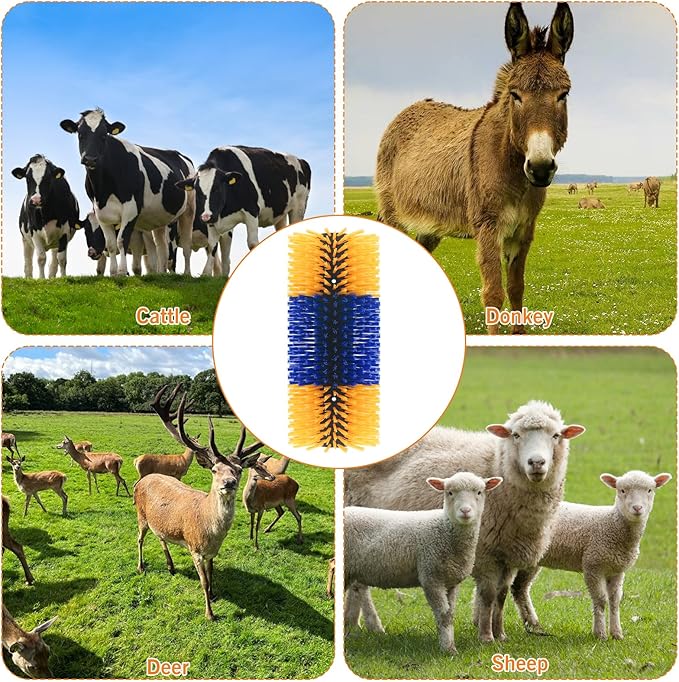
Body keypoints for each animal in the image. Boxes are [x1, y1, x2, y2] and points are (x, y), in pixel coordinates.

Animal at [59, 109, 195, 275]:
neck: (104, 189)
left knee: (186, 244)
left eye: (104, 135)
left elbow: (121, 240)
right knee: (161, 246)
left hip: (188, 210)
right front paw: (113, 273)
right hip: (160, 217)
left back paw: (187, 273)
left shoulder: (131, 210)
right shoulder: (100, 212)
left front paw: (122, 272)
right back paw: (161, 274)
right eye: (80, 134)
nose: (90, 159)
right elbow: (111, 244)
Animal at [176, 146, 311, 278]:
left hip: (299, 207)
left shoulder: (251, 211)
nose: (205, 217)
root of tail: (301, 160)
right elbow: (212, 245)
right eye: (197, 190)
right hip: (280, 213)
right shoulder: (213, 218)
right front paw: (208, 273)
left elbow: (252, 243)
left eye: (217, 188)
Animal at [345, 473, 503, 653]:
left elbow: (450, 614)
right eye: (449, 492)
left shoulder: (451, 582)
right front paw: (448, 649)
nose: (465, 511)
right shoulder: (431, 577)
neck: (444, 529)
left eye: (479, 492)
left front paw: (449, 644)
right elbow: (443, 615)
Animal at [511, 470, 672, 640]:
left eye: (650, 490)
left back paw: (533, 625)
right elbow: (600, 600)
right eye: (622, 490)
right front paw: (600, 634)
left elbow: (615, 600)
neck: (612, 524)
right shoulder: (593, 565)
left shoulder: (617, 570)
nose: (637, 508)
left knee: (519, 589)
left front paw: (617, 633)